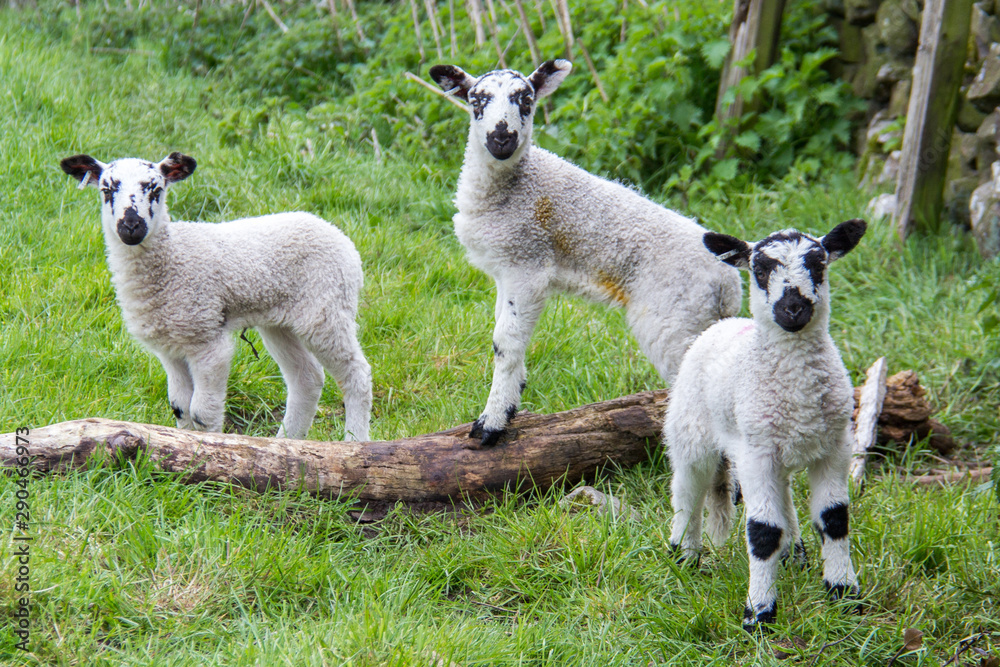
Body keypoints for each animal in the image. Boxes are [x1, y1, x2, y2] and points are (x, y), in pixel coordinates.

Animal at [60, 152, 372, 442]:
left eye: (156, 189)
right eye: (107, 190)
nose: (131, 226)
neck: (172, 259)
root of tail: (342, 239)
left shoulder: (207, 339)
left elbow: (201, 412)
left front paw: (208, 451)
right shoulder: (169, 347)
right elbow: (180, 408)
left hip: (326, 308)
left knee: (357, 374)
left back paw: (353, 444)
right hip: (281, 321)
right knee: (307, 378)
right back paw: (287, 445)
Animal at [429, 59, 742, 448]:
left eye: (526, 101)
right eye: (477, 101)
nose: (502, 139)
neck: (511, 189)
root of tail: (728, 283)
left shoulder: (528, 264)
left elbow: (505, 343)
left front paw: (491, 424)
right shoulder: (507, 268)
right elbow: (505, 333)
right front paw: (513, 400)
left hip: (673, 317)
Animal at [664, 219, 867, 630]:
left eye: (819, 264)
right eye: (759, 270)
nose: (793, 308)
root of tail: (725, 324)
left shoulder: (835, 446)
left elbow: (835, 518)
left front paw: (844, 593)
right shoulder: (756, 454)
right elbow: (762, 532)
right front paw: (758, 614)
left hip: (775, 449)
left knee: (783, 495)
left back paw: (794, 553)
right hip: (692, 428)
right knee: (688, 489)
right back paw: (684, 554)